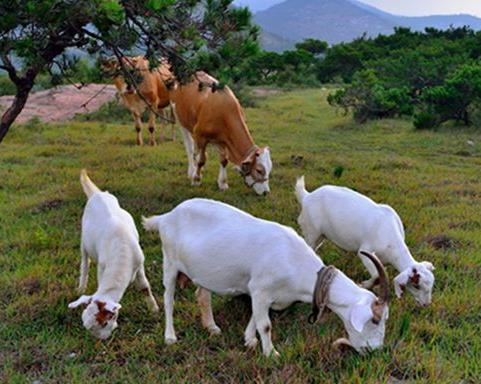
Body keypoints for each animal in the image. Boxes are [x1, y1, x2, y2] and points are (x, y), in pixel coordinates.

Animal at [68, 171, 158, 340]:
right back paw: (81, 287)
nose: (102, 340)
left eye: (104, 323)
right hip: (84, 241)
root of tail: (97, 193)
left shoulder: (139, 262)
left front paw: (154, 309)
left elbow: (144, 287)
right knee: (85, 263)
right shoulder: (102, 267)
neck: (122, 253)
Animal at [142, 198, 390, 356]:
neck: (295, 262)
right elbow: (266, 324)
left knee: (202, 294)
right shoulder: (261, 288)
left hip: (203, 271)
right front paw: (271, 353)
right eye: (375, 320)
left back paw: (211, 327)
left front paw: (250, 340)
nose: (374, 350)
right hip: (170, 262)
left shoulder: (261, 293)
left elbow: (257, 315)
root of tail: (166, 217)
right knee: (168, 298)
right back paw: (170, 337)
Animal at [294, 176, 434, 306]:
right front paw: (364, 285)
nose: (426, 304)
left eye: (431, 285)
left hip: (320, 235)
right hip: (311, 230)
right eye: (416, 286)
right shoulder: (365, 252)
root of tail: (307, 196)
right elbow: (376, 275)